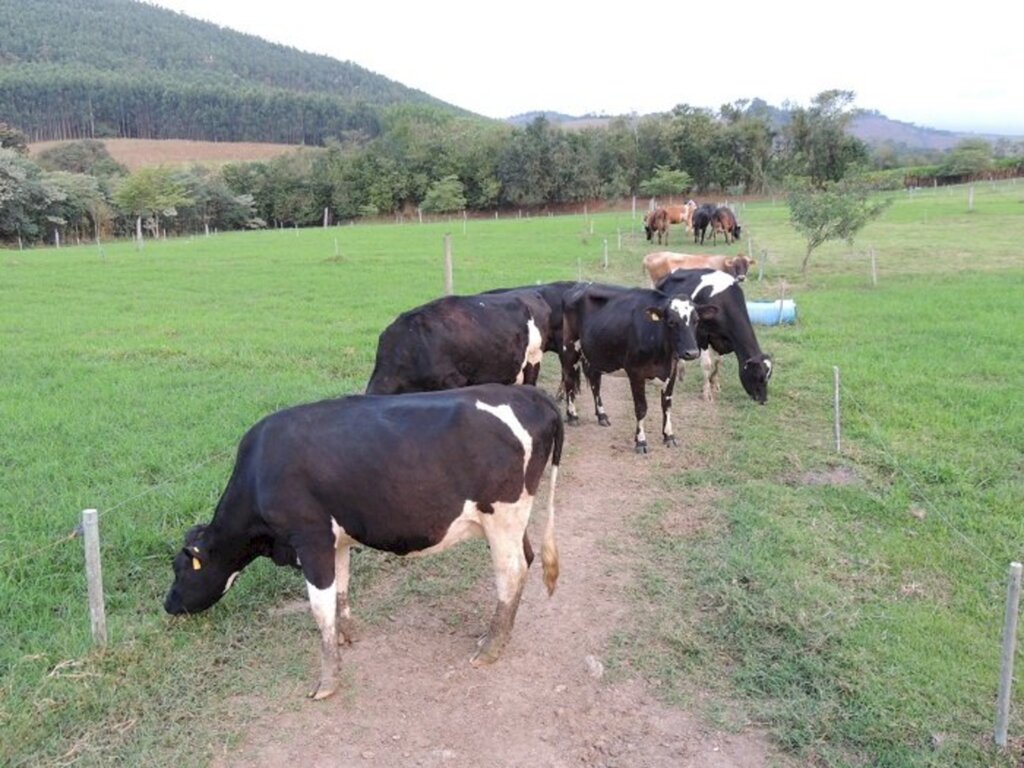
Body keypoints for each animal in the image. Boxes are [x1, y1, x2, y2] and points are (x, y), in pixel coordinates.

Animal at [168, 385, 569, 704]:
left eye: (180, 568)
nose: (167, 604)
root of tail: (528, 394)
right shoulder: (336, 540)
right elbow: (341, 590)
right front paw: (348, 635)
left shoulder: (310, 538)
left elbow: (319, 606)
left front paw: (327, 680)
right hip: (510, 521)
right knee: (527, 558)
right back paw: (496, 635)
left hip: (503, 515)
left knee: (511, 573)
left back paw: (490, 648)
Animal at [557, 282, 708, 454]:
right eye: (671, 322)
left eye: (696, 320)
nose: (692, 352)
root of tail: (579, 285)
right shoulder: (636, 373)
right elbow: (641, 407)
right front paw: (641, 441)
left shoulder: (672, 372)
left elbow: (667, 405)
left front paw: (669, 436)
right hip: (570, 348)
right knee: (569, 380)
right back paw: (572, 416)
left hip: (595, 354)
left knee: (595, 383)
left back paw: (602, 416)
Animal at [659, 268, 770, 405]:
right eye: (756, 376)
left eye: (769, 377)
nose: (763, 400)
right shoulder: (702, 335)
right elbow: (707, 364)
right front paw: (707, 393)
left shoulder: (722, 340)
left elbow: (718, 362)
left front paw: (715, 383)